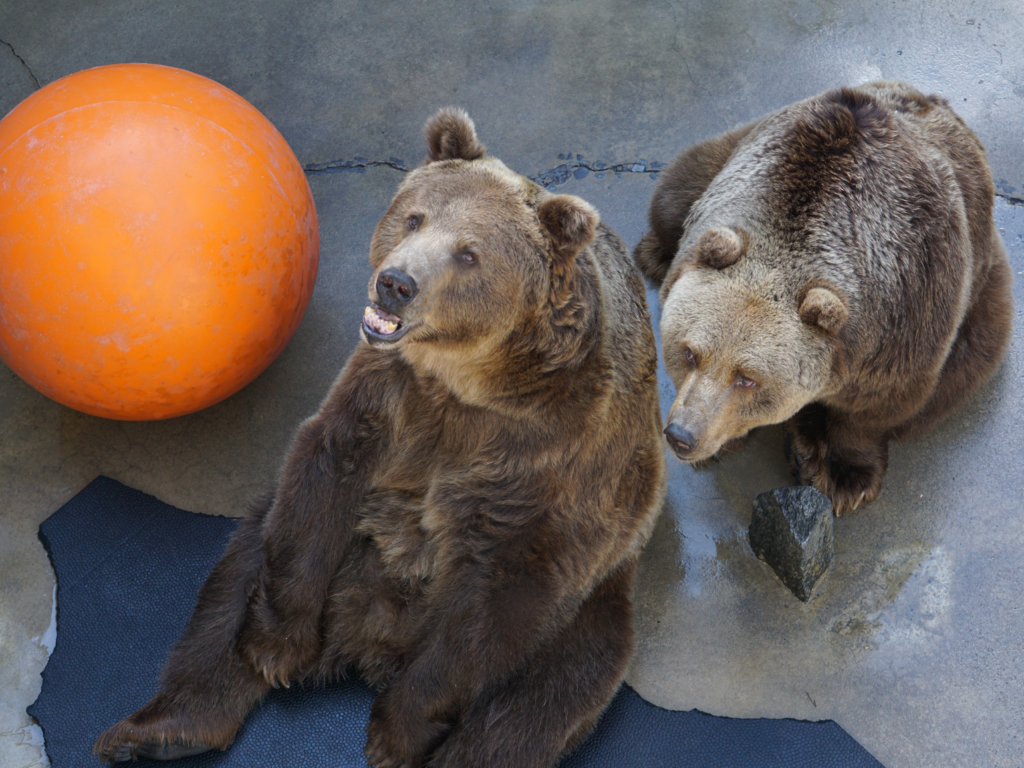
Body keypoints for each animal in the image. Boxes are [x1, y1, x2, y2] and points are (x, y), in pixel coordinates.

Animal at [94, 108, 663, 768]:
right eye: (414, 217)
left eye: (469, 255)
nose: (395, 282)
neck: (473, 384)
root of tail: (368, 643)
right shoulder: (388, 392)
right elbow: (325, 474)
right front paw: (278, 649)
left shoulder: (551, 456)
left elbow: (500, 593)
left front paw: (396, 733)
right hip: (319, 555)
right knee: (229, 589)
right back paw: (159, 729)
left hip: (594, 612)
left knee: (537, 706)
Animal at [634, 82, 1011, 518]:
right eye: (690, 353)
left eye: (747, 377)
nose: (682, 435)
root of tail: (922, 94)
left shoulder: (911, 311)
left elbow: (877, 406)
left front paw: (846, 477)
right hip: (725, 152)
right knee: (673, 193)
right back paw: (655, 253)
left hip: (982, 285)